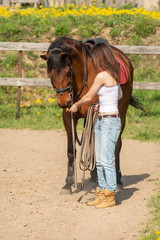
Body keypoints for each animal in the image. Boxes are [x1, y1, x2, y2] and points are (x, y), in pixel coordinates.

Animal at [40, 36, 143, 193]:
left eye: (68, 71)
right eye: (50, 73)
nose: (64, 101)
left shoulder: (95, 114)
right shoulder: (68, 117)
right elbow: (72, 150)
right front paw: (68, 183)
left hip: (121, 113)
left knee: (116, 145)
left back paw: (117, 181)